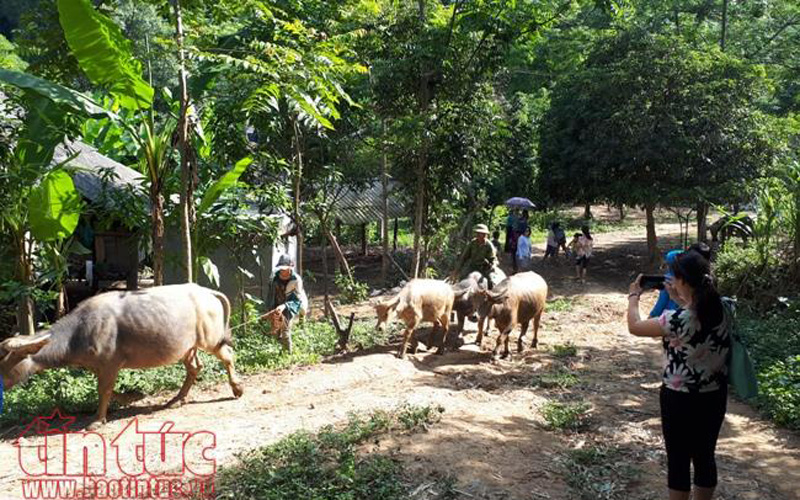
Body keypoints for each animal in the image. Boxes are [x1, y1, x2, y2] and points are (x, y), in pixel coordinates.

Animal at [0, 286, 244, 430]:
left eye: (4, 360)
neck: (79, 332)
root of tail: (206, 291)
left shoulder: (110, 363)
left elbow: (104, 390)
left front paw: (97, 420)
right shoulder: (99, 366)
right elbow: (109, 391)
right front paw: (133, 396)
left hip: (210, 340)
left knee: (227, 356)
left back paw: (237, 388)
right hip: (187, 347)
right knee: (194, 367)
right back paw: (177, 399)